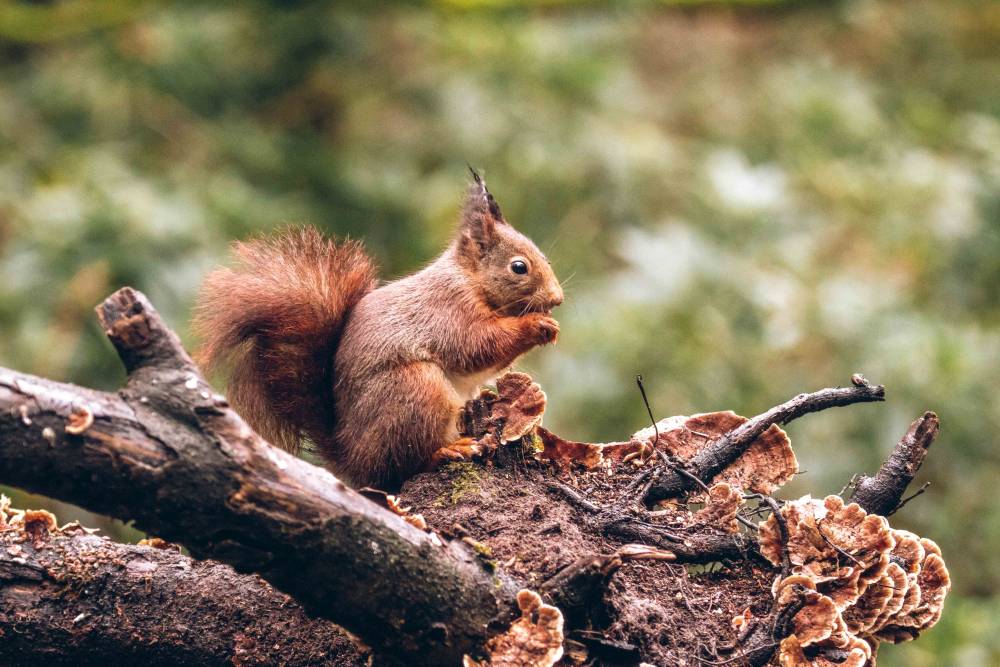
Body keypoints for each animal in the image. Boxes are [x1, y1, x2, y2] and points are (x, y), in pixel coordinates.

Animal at [191, 170, 560, 488]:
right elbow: (477, 345)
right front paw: (537, 325)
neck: (469, 281)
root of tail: (353, 459)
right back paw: (449, 450)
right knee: (406, 466)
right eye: (519, 267)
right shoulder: (448, 311)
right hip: (416, 391)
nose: (557, 298)